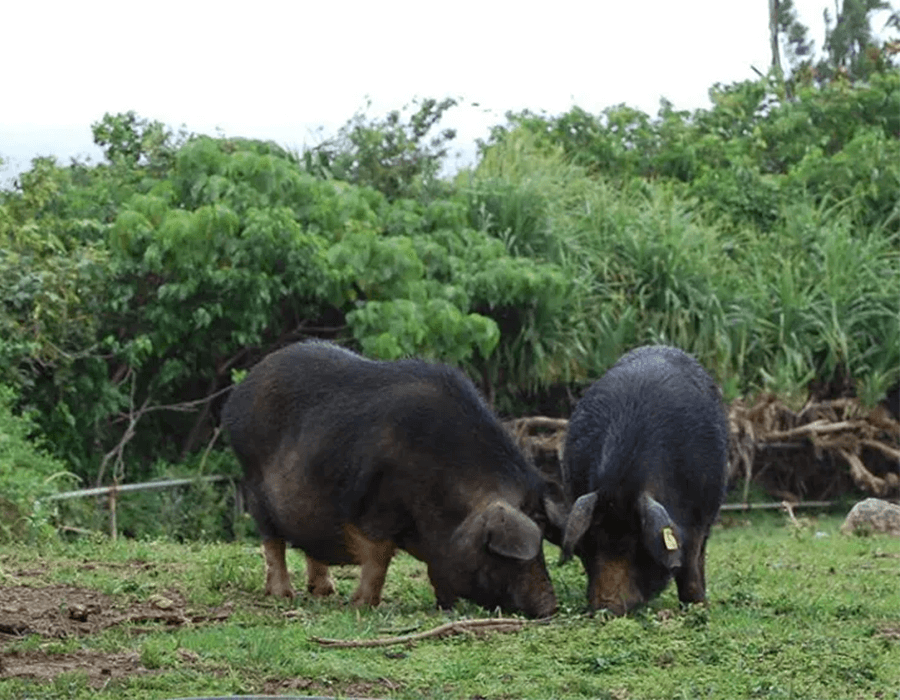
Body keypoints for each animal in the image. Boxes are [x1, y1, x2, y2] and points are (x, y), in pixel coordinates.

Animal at [221, 340, 556, 616]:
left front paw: (447, 606)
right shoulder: (376, 506)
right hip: (254, 483)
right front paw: (362, 606)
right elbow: (380, 556)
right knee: (272, 540)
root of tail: (236, 398)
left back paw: (325, 593)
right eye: (507, 556)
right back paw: (283, 596)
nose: (549, 607)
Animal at [560, 344, 728, 612]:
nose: (605, 607)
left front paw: (699, 608)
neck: (620, 485)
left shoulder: (699, 514)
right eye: (591, 543)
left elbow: (690, 561)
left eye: (638, 546)